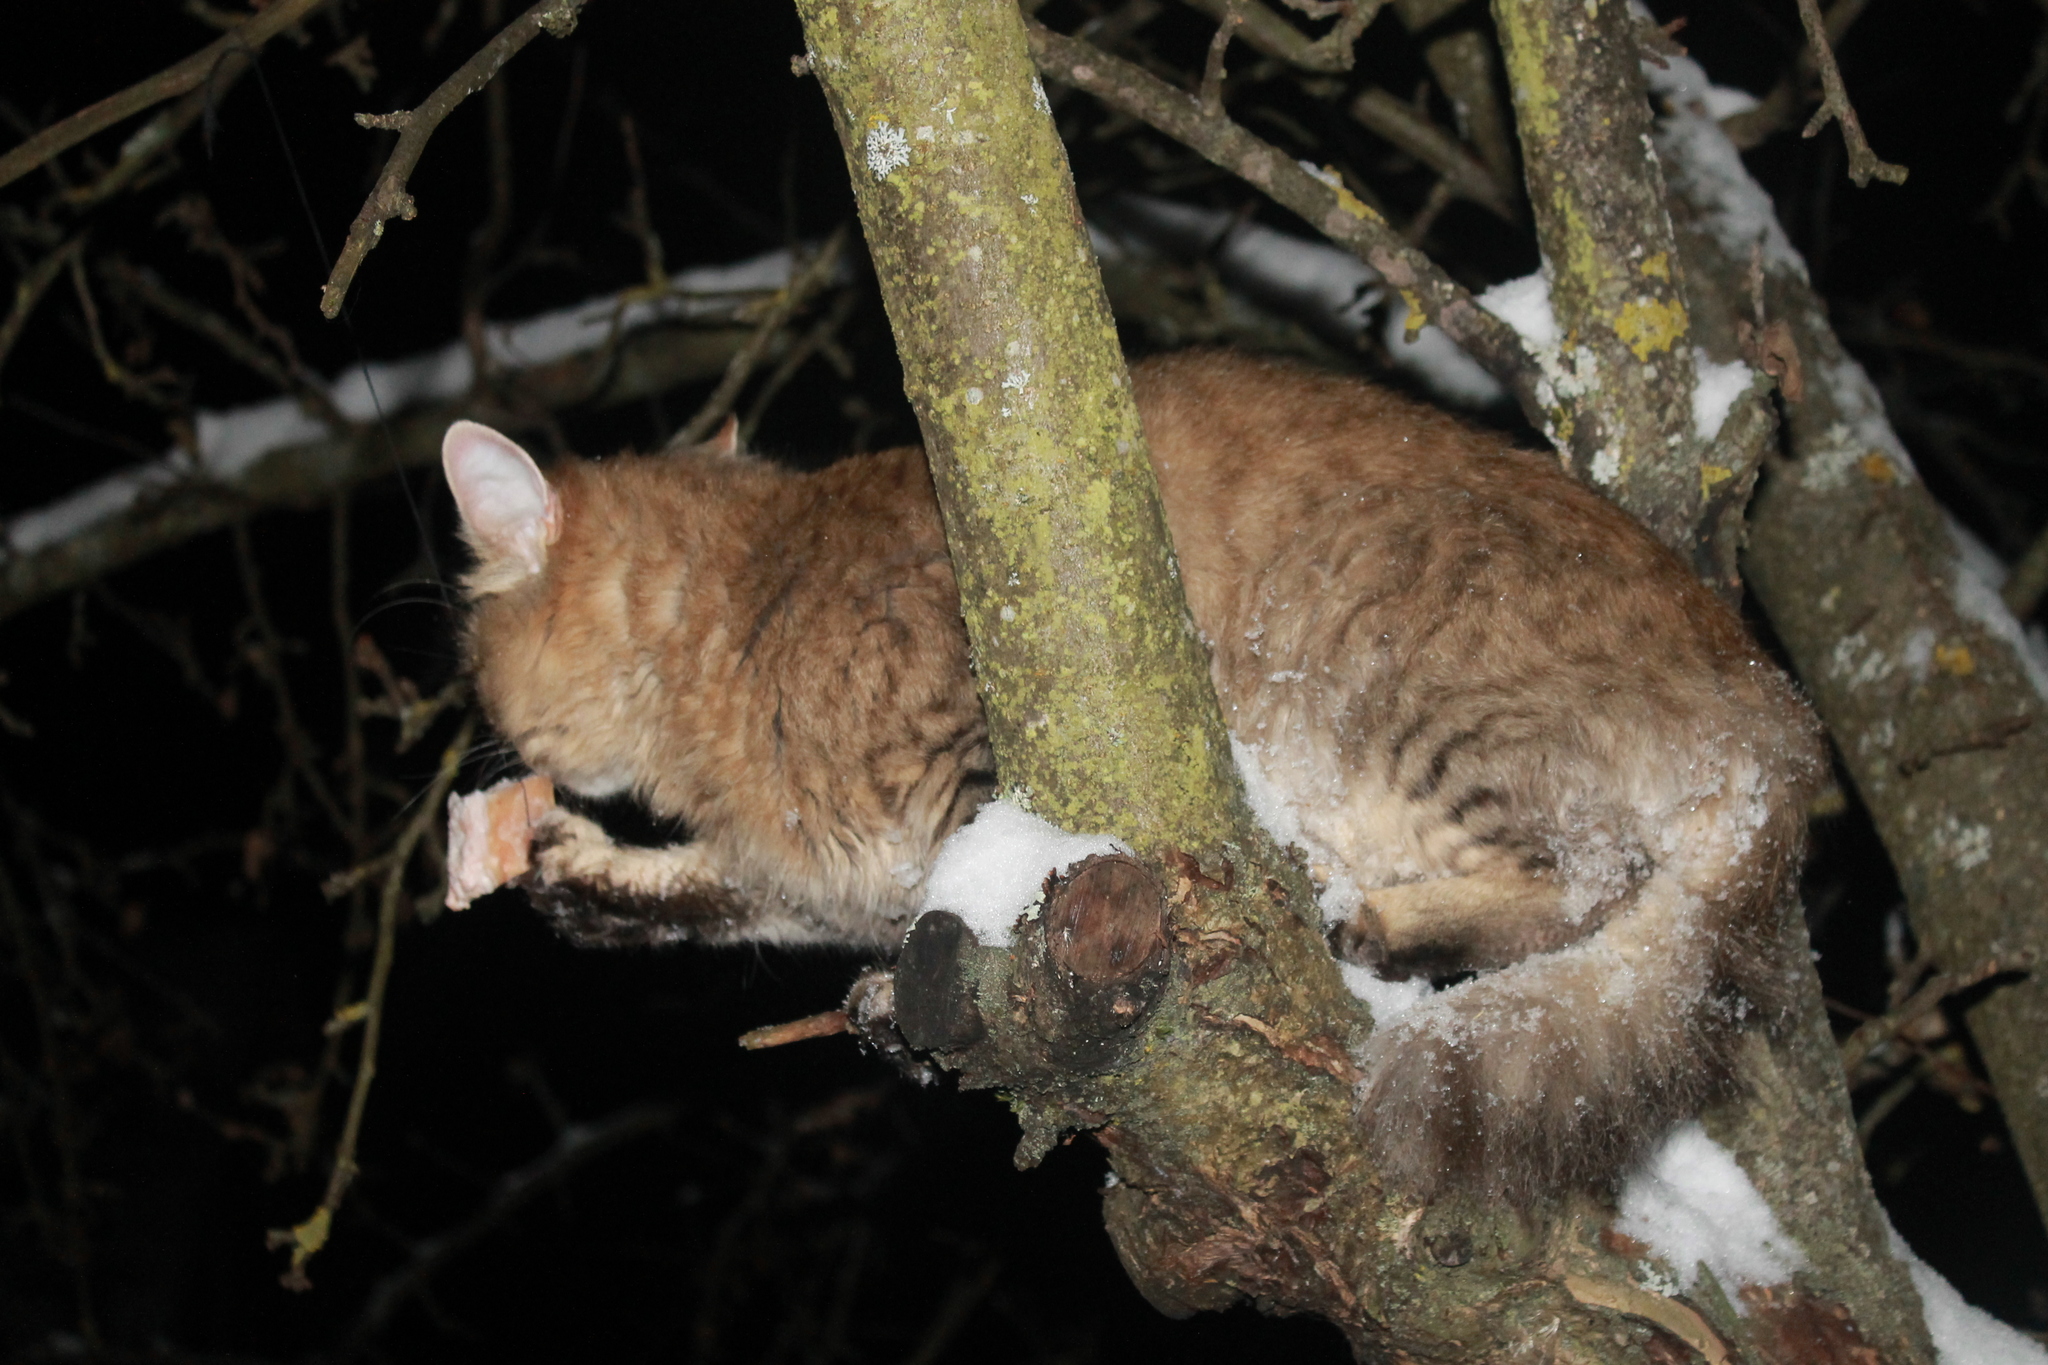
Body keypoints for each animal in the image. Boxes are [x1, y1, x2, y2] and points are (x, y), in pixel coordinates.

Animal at [448, 347, 1826, 1203]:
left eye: (470, 652)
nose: (491, 735)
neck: (737, 611)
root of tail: (1778, 716)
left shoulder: (970, 752)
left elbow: (965, 892)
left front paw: (901, 998)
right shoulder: (809, 868)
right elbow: (715, 896)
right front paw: (572, 875)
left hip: (1396, 679)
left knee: (1594, 882)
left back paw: (1374, 918)